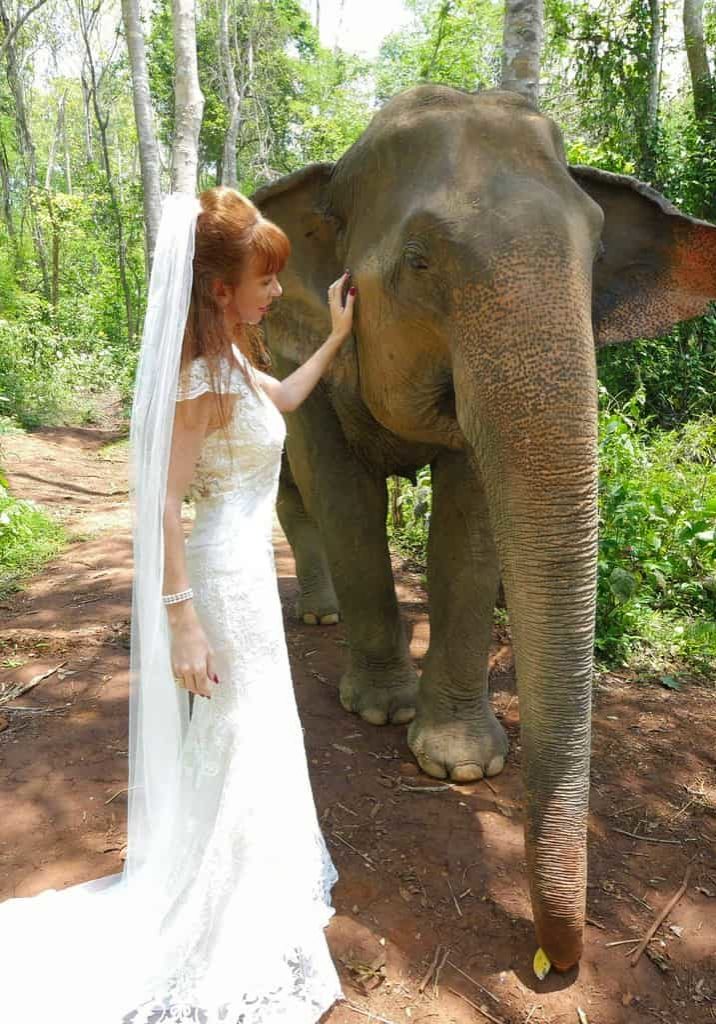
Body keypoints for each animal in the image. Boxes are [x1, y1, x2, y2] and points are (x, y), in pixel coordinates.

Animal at [252, 84, 716, 970]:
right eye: (419, 260)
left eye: (595, 255)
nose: (554, 964)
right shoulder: (306, 361)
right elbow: (345, 498)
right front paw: (379, 713)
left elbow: (469, 526)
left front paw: (459, 766)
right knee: (293, 499)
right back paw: (317, 618)